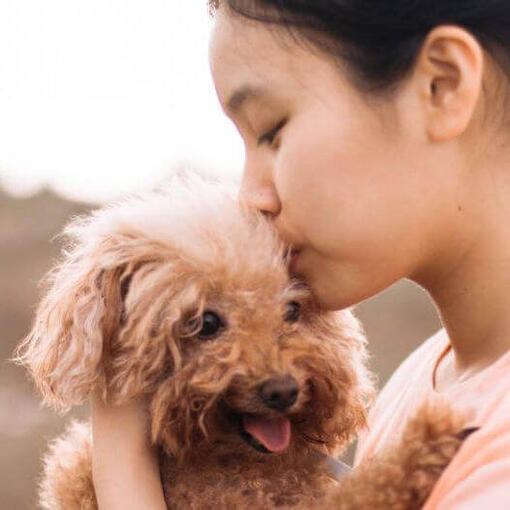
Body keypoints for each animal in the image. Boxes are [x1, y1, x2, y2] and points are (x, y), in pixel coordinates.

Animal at [15, 176, 470, 510]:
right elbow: (362, 495)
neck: (237, 467)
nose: (283, 391)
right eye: (206, 322)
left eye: (292, 309)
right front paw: (428, 437)